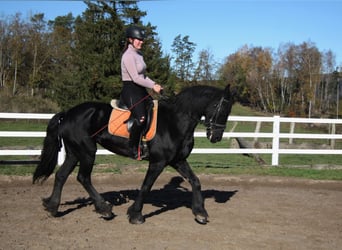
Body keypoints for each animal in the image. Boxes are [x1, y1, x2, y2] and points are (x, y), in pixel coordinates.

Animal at [32, 84, 235, 225]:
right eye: (218, 106)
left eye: (229, 110)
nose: (216, 137)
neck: (175, 121)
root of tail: (67, 114)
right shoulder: (158, 162)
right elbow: (146, 186)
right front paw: (135, 214)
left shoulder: (178, 160)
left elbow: (195, 181)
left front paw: (200, 213)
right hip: (87, 151)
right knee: (83, 177)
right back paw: (104, 208)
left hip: (75, 152)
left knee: (61, 175)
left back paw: (52, 206)